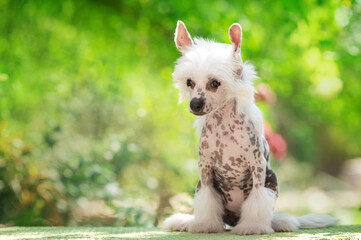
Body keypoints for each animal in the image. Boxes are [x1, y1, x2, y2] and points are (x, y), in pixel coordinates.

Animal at [163, 20, 338, 234]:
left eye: (215, 83)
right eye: (189, 82)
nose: (195, 104)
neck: (225, 126)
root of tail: (233, 220)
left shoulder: (257, 166)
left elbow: (257, 199)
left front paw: (253, 227)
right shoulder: (205, 169)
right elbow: (207, 199)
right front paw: (205, 225)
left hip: (272, 179)